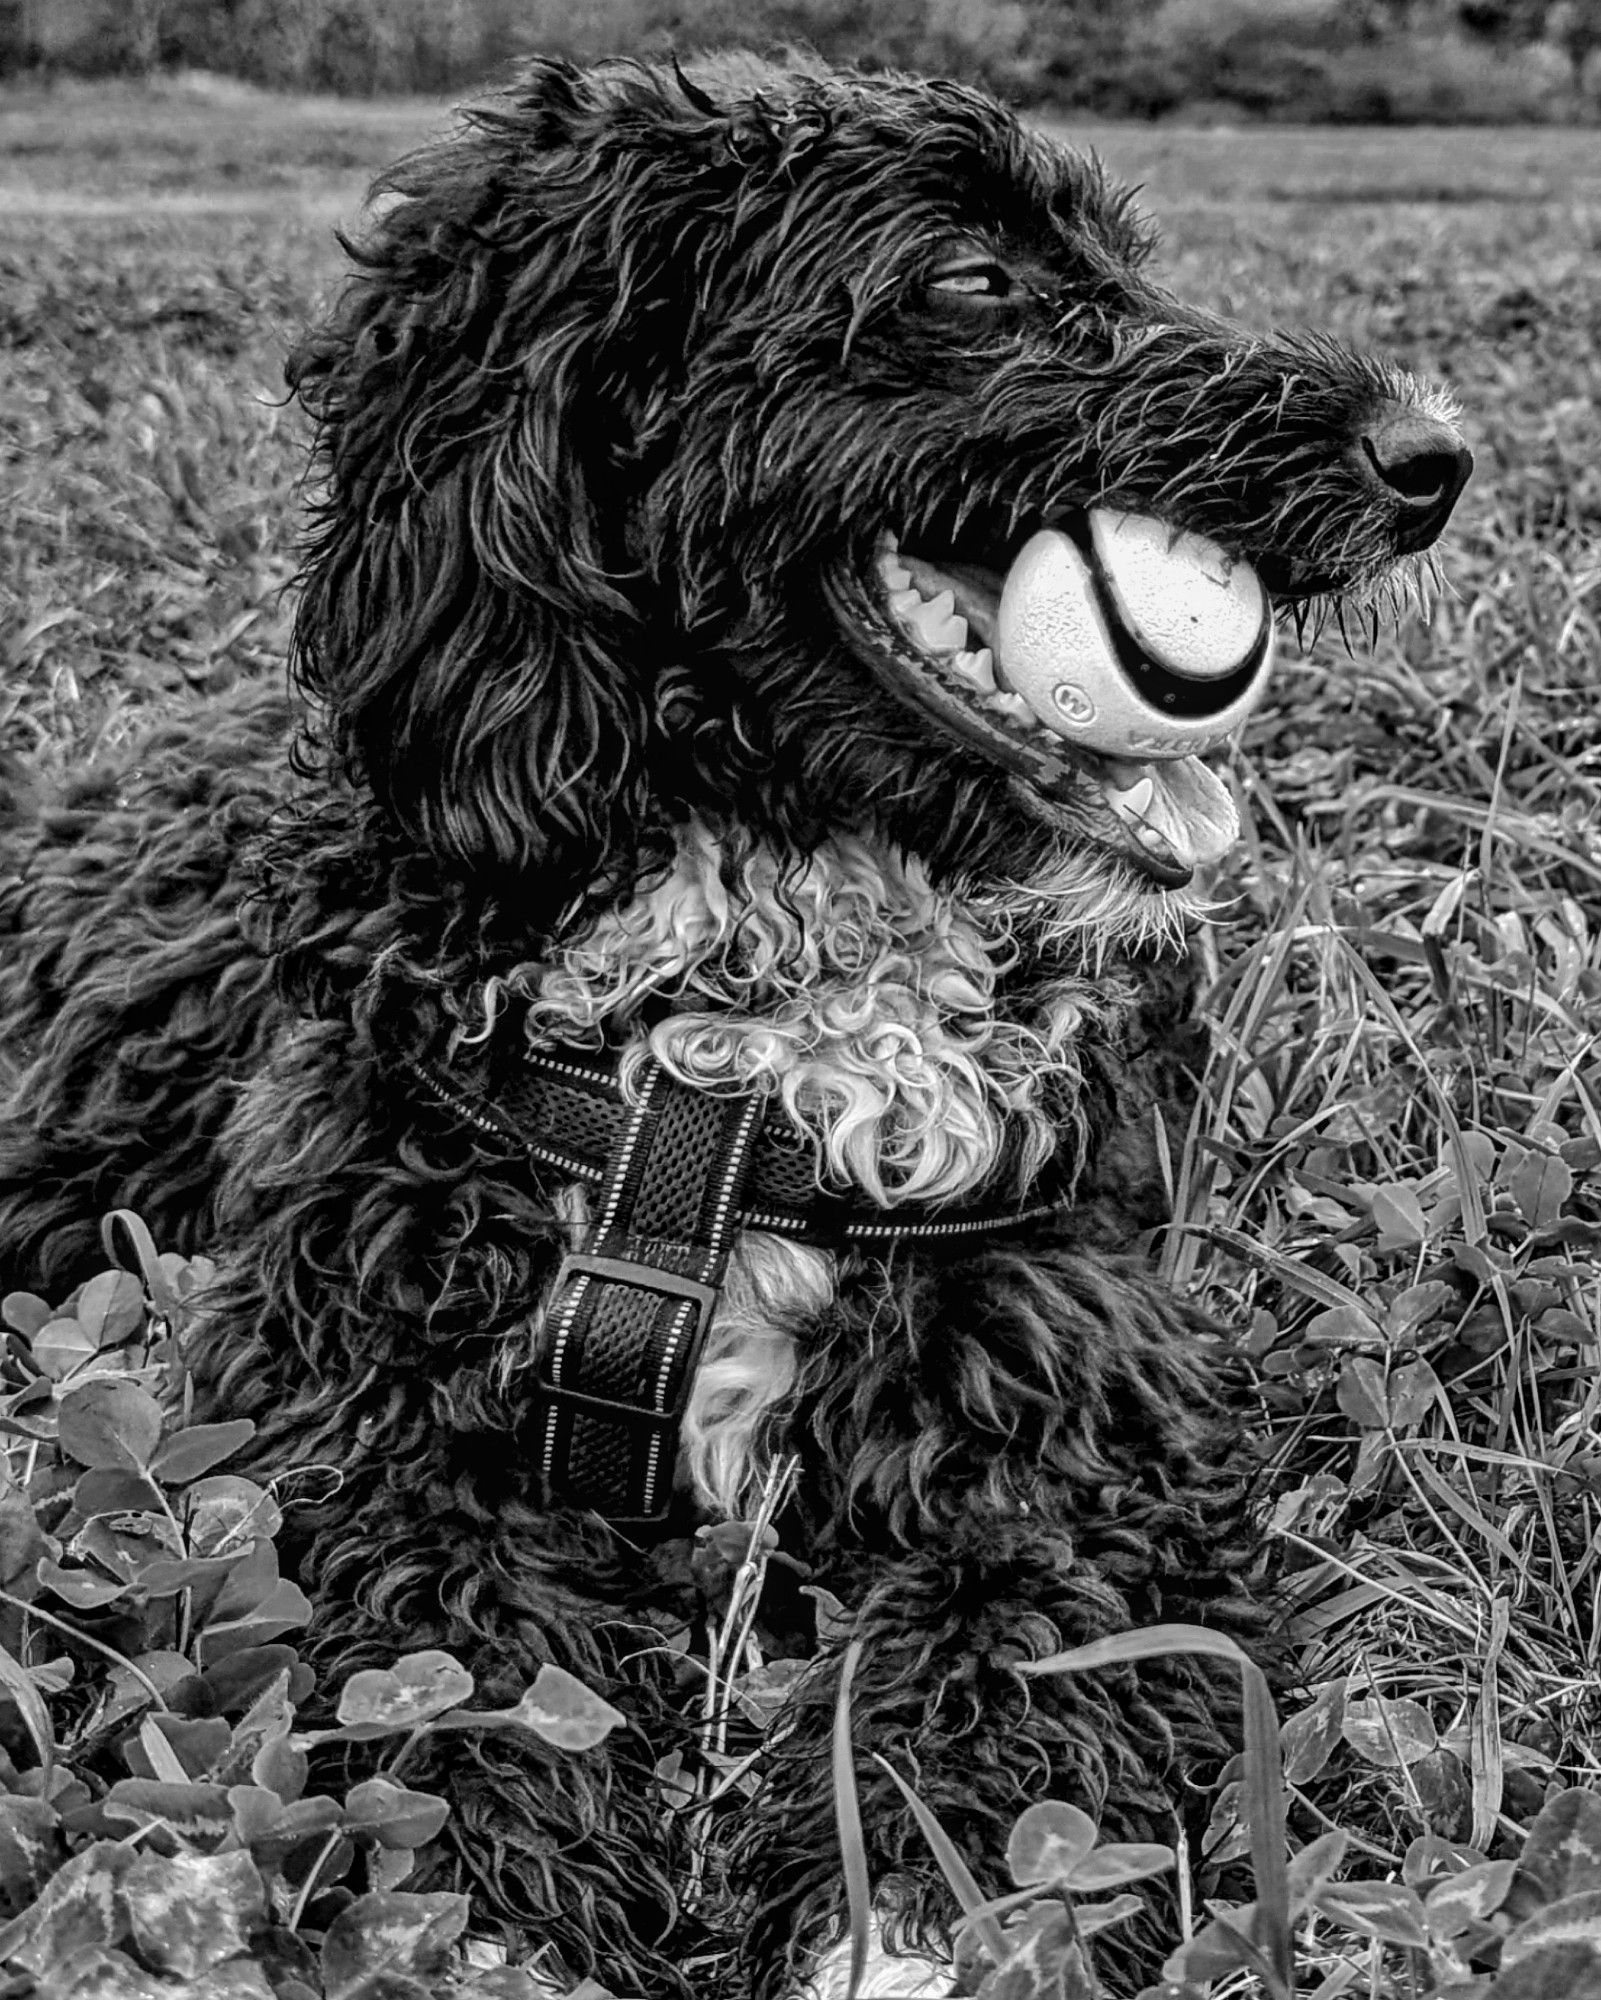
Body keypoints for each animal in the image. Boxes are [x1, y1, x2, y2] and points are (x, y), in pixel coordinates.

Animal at [0, 54, 1472, 1992]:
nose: (1431, 456)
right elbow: (443, 1677)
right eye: (971, 278)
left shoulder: (1077, 1425)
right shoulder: (353, 1416)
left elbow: (1005, 1682)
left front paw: (902, 1924)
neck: (727, 1081)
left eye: (1117, 258)